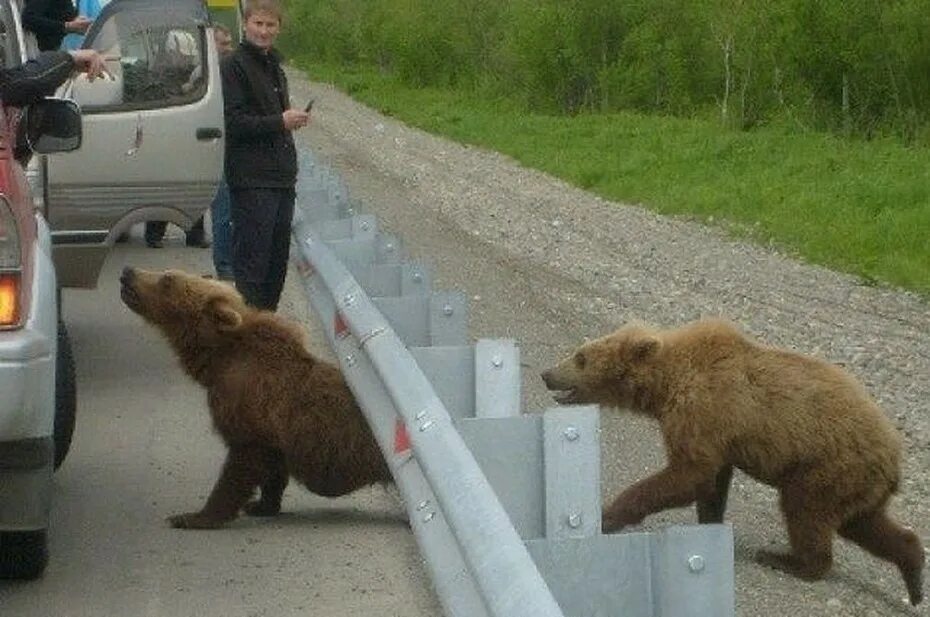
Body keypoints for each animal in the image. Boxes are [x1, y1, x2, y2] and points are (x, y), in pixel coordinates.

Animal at [118, 268, 390, 528]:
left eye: (167, 279)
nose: (127, 273)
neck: (217, 362)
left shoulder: (251, 410)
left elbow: (239, 467)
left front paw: (193, 517)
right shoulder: (276, 434)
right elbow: (273, 470)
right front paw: (262, 505)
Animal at [540, 316, 924, 604]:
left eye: (581, 357)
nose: (547, 374)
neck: (665, 386)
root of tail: (895, 458)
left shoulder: (703, 410)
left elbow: (689, 475)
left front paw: (607, 514)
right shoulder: (718, 435)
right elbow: (712, 483)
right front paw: (709, 524)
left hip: (825, 466)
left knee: (805, 512)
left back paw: (788, 561)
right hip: (856, 482)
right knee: (865, 524)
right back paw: (915, 574)